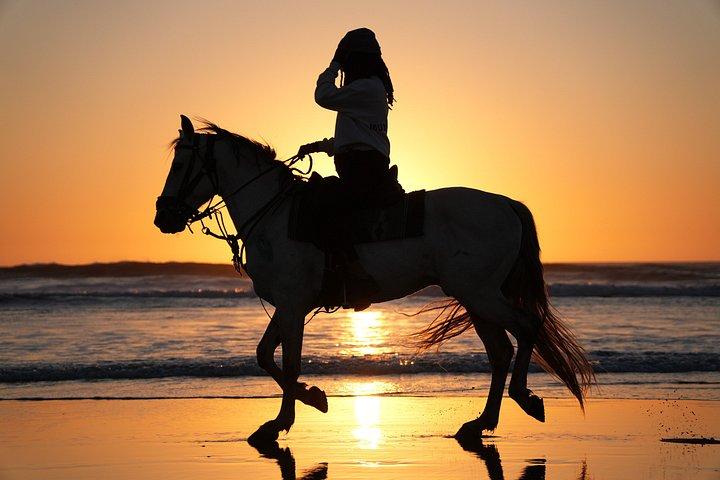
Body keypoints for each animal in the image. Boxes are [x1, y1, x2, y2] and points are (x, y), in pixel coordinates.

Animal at [154, 115, 595, 443]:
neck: (276, 216)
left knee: (526, 326)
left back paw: (525, 398)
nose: (163, 217)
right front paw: (310, 400)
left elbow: (289, 362)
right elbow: (265, 354)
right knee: (501, 352)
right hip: (476, 297)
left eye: (180, 165)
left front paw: (285, 419)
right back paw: (480, 423)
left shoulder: (294, 304)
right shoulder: (289, 303)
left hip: (482, 294)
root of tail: (506, 203)